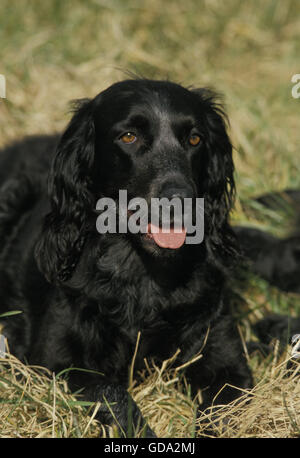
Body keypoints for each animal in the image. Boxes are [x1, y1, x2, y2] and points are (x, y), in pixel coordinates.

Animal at [0, 79, 253, 436]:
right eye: (129, 136)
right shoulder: (58, 362)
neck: (141, 272)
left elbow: (222, 410)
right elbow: (113, 394)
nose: (181, 200)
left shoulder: (225, 357)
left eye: (195, 138)